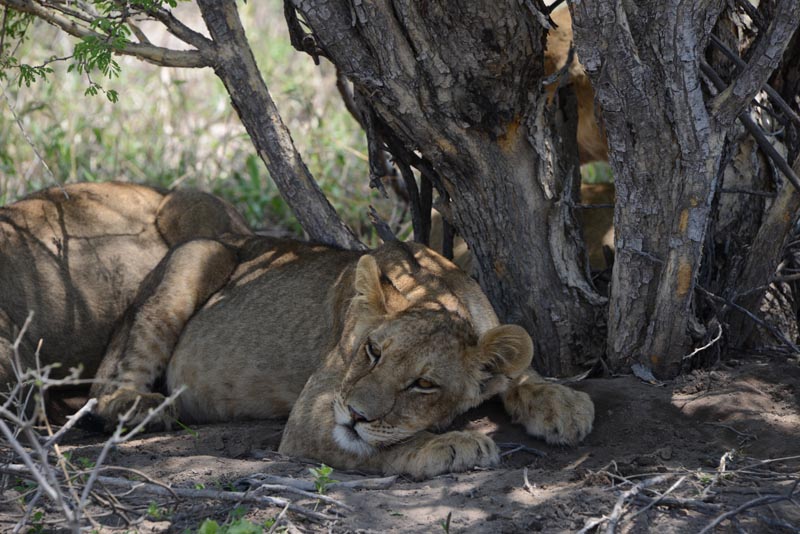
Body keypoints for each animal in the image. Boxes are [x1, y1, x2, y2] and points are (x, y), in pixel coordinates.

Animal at [3, 183, 594, 479]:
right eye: (371, 351)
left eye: (423, 384)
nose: (355, 413)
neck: (441, 297)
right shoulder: (314, 412)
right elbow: (377, 448)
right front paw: (452, 445)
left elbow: (522, 372)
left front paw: (563, 404)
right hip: (197, 255)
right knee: (105, 389)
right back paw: (144, 408)